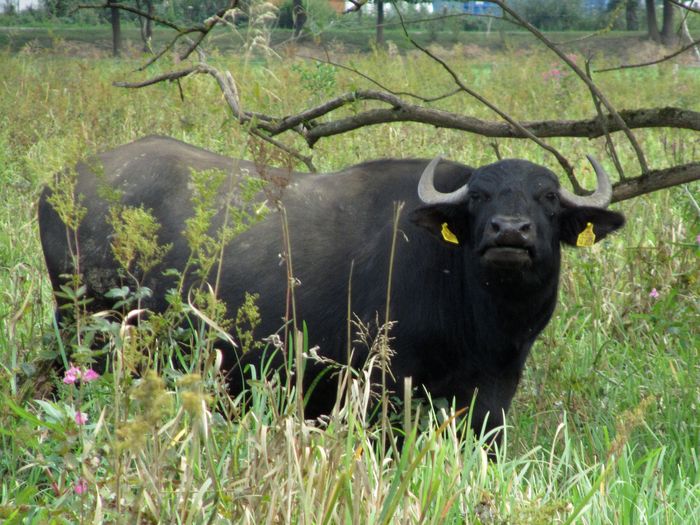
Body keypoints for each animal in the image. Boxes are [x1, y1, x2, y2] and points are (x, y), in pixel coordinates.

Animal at [38, 137, 628, 440]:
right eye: (480, 195)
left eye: (547, 197)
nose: (510, 231)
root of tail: (61, 183)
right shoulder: (385, 389)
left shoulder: (491, 399)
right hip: (86, 331)